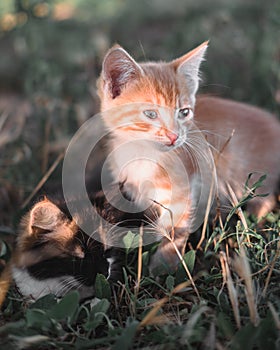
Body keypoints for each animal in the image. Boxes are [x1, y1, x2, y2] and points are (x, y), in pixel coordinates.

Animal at [97, 42, 280, 270]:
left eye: (184, 113)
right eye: (150, 114)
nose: (174, 136)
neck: (144, 155)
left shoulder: (184, 191)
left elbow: (175, 232)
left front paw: (163, 267)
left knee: (266, 200)